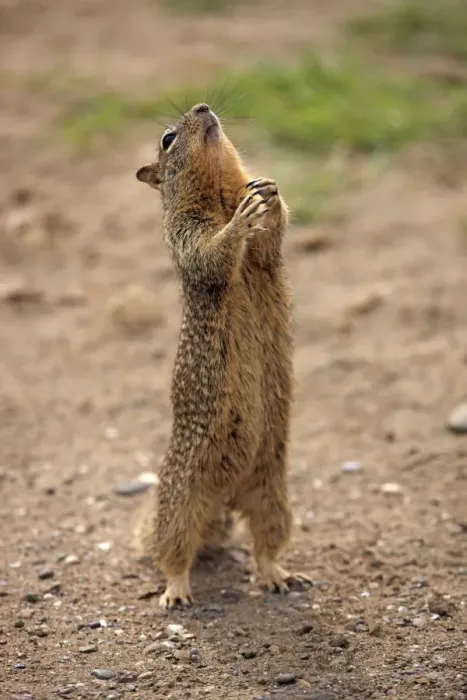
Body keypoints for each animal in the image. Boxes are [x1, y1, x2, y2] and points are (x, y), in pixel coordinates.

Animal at [135, 102, 311, 608]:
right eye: (168, 138)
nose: (203, 107)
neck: (219, 193)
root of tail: (225, 496)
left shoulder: (264, 249)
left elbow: (272, 237)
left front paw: (269, 191)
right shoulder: (186, 234)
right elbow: (213, 253)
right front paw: (240, 222)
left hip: (272, 491)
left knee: (265, 543)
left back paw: (278, 575)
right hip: (182, 499)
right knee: (173, 551)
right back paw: (176, 590)